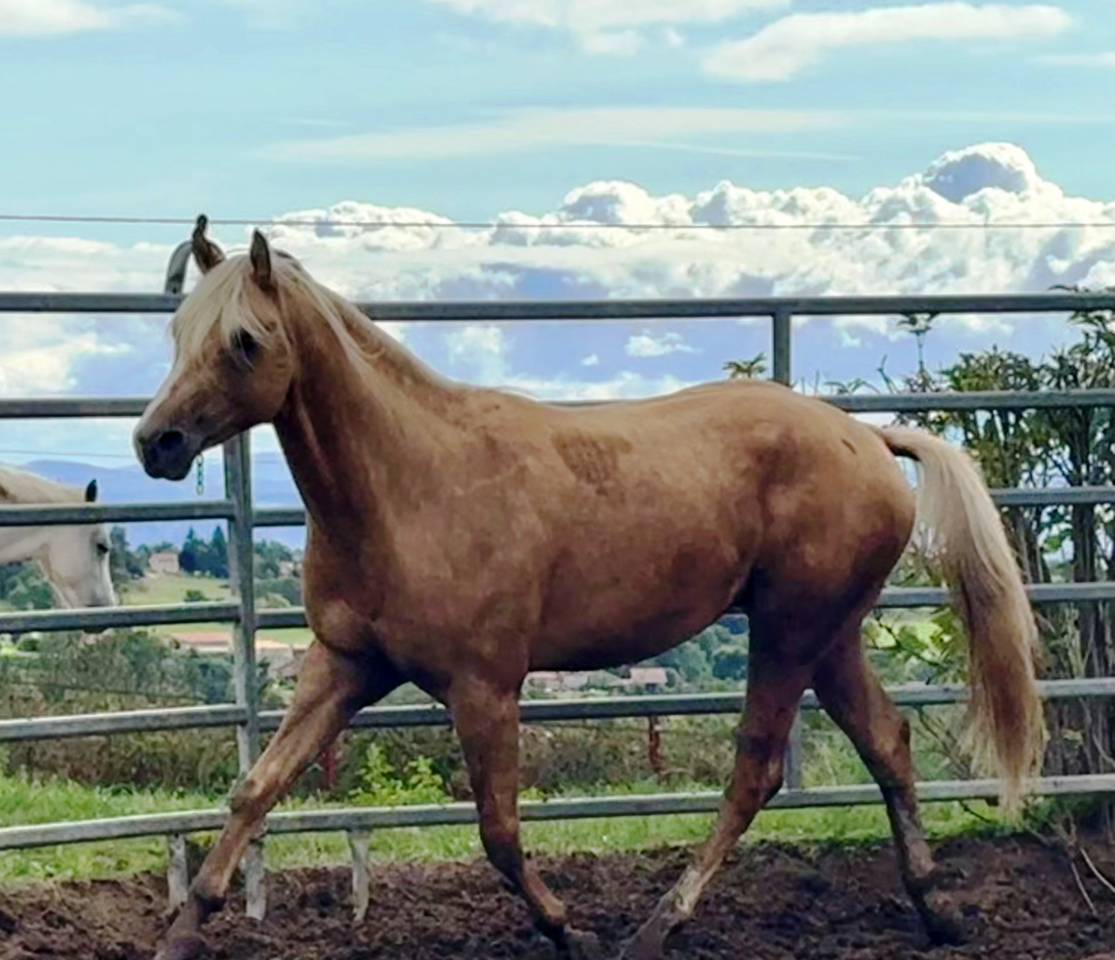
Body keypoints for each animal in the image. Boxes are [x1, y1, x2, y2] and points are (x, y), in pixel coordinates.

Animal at [134, 216, 1045, 960]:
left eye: (245, 340)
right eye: (177, 330)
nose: (156, 443)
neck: (409, 483)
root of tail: (869, 439)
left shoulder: (484, 687)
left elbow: (499, 831)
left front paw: (568, 930)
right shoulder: (344, 666)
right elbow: (254, 789)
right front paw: (181, 932)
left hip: (790, 634)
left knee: (755, 771)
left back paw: (656, 927)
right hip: (829, 635)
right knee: (886, 741)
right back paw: (936, 912)